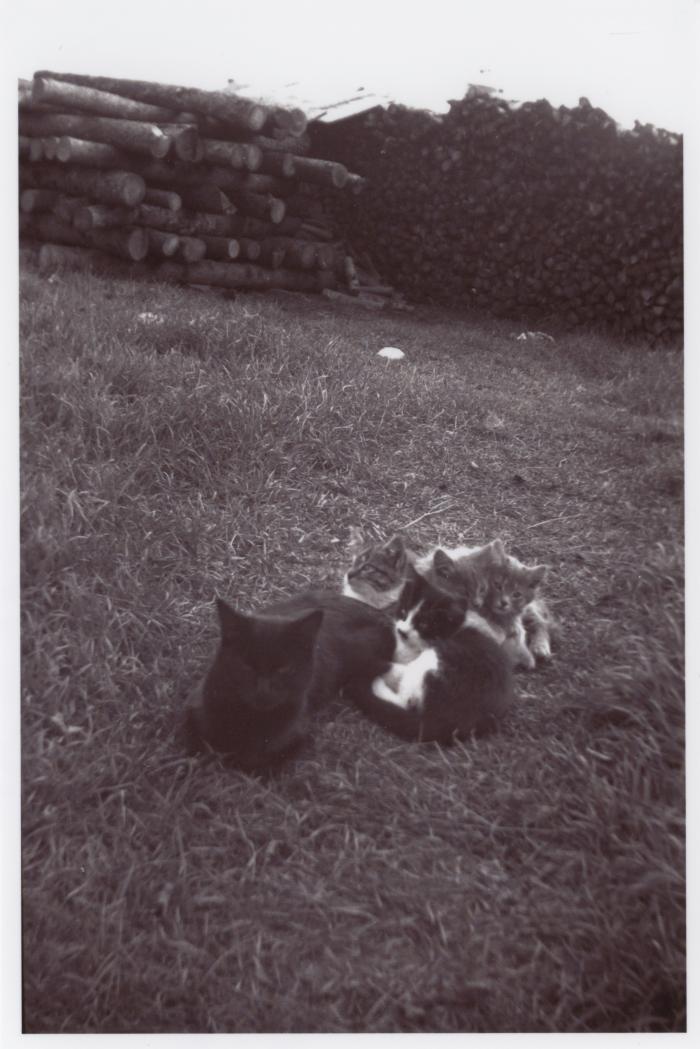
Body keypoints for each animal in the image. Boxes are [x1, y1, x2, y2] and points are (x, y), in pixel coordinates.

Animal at [348, 566, 512, 746]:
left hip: (435, 661)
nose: (402, 631)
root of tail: (455, 723)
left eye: (424, 624)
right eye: (403, 612)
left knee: (405, 697)